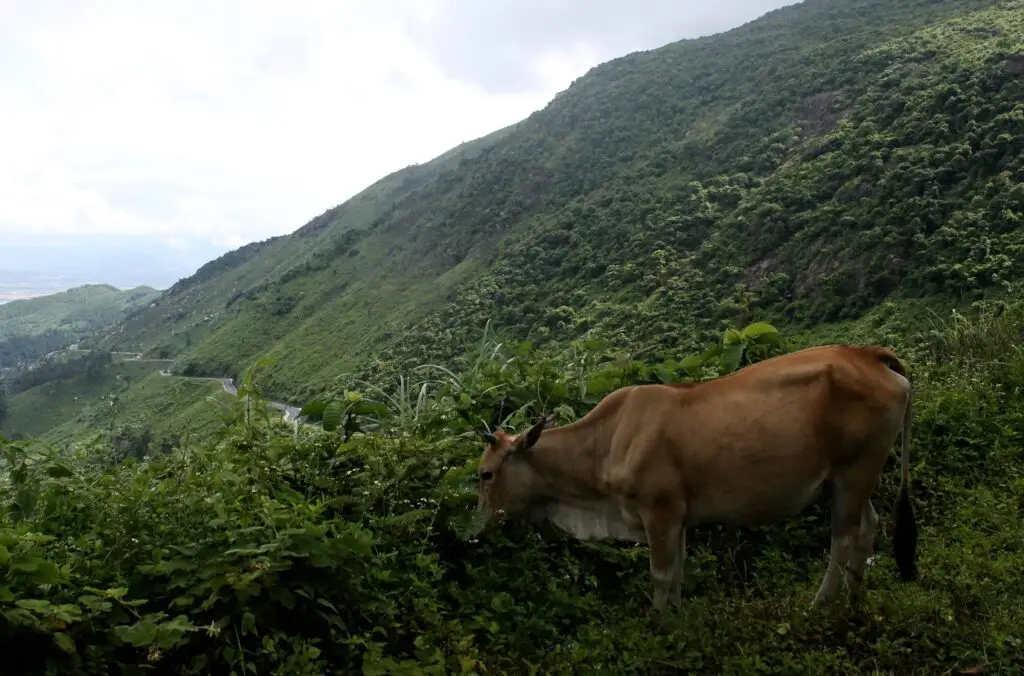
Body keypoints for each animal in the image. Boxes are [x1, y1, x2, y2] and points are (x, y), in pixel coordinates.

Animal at [474, 344, 918, 611]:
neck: (607, 444)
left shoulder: (659, 512)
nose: (478, 529)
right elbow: (678, 573)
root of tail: (868, 353)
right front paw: (678, 620)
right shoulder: (679, 517)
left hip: (855, 471)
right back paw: (853, 598)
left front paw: (660, 625)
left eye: (485, 474)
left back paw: (821, 605)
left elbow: (661, 574)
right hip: (848, 478)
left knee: (842, 538)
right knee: (867, 527)